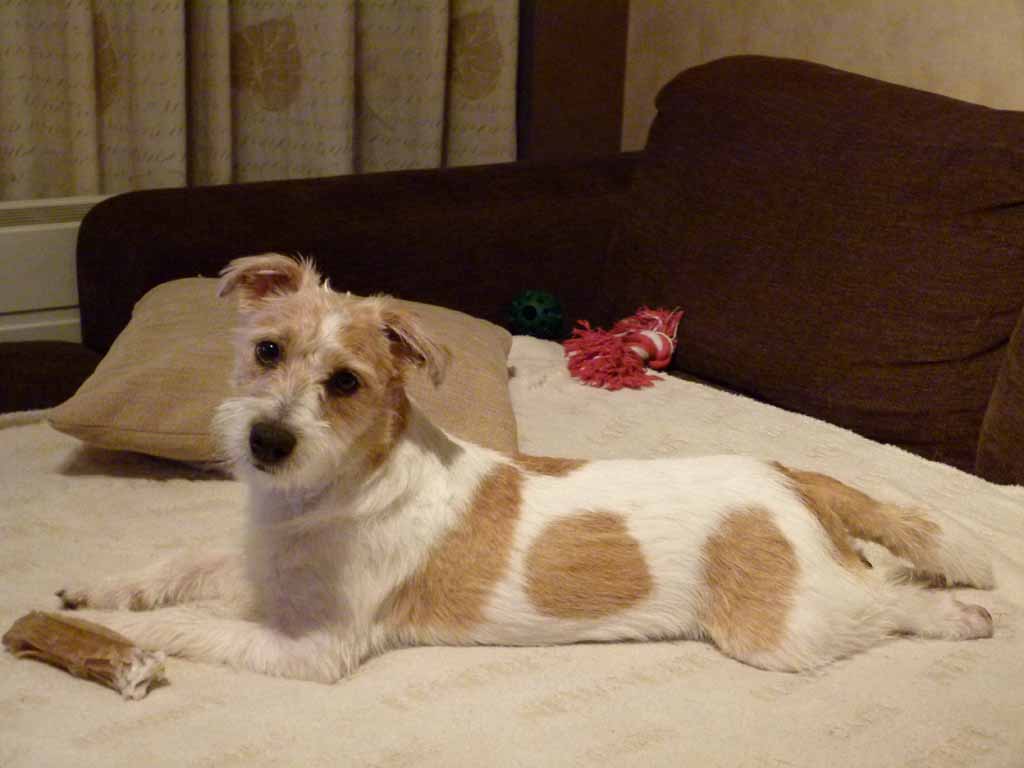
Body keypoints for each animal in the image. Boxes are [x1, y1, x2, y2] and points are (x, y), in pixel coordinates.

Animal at [58, 253, 995, 683]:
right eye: (267, 351)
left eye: (346, 383)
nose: (267, 443)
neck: (335, 491)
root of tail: (790, 474)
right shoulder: (257, 564)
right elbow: (180, 563)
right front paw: (99, 590)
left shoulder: (310, 646)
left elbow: (189, 625)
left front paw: (114, 639)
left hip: (781, 628)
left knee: (889, 601)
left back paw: (959, 617)